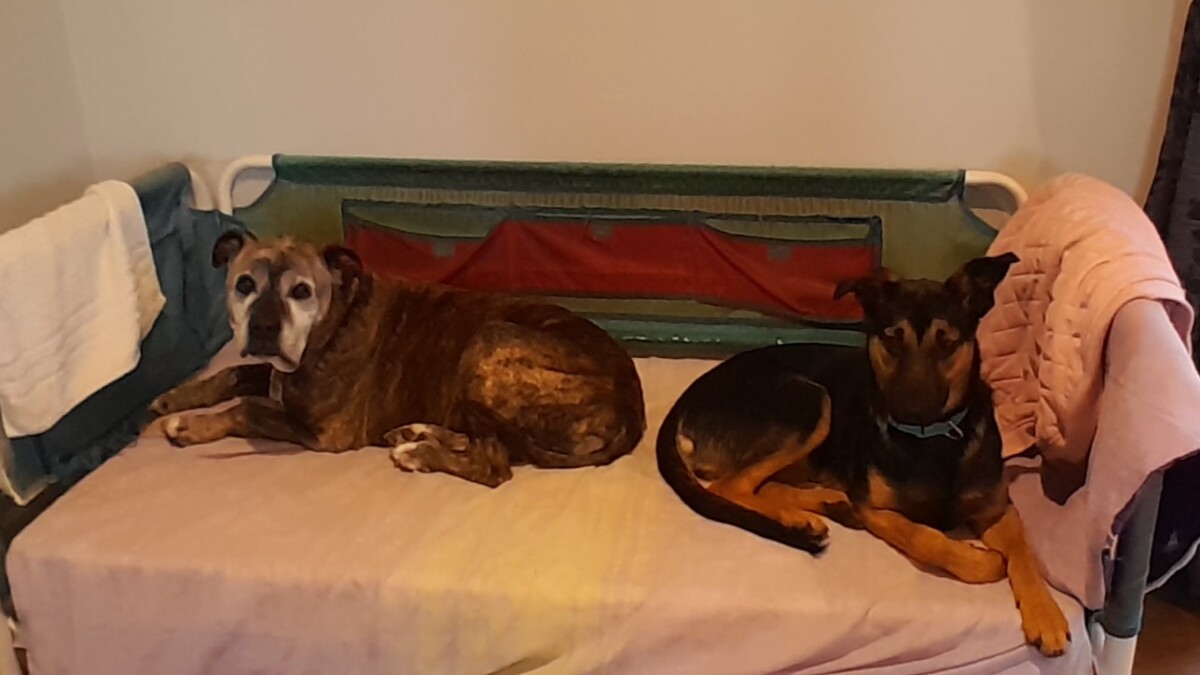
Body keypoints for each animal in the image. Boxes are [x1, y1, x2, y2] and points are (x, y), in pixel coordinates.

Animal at [150, 231, 646, 487]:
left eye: (302, 291)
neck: (334, 322)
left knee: (494, 464)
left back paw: (418, 454)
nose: (264, 328)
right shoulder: (270, 372)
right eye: (244, 284)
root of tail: (631, 411)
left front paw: (189, 426)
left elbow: (248, 408)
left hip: (491, 339)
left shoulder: (326, 432)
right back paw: (419, 433)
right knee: (485, 440)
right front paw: (175, 399)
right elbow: (235, 374)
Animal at [656, 254, 1071, 657]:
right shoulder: (875, 508)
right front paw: (980, 560)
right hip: (809, 400)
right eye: (891, 340)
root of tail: (686, 401)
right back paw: (801, 515)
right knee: (731, 486)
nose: (910, 411)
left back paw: (818, 507)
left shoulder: (996, 509)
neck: (933, 440)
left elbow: (1024, 553)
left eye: (947, 344)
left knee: (760, 483)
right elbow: (925, 538)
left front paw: (1045, 614)